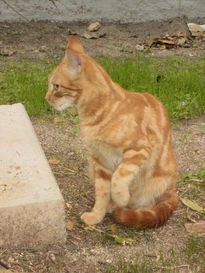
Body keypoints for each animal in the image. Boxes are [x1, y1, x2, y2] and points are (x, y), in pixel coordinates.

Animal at [44, 36, 178, 227]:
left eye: (56, 86)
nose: (46, 98)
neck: (102, 110)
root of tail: (172, 188)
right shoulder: (100, 161)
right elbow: (101, 191)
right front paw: (96, 214)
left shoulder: (138, 150)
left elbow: (118, 179)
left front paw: (120, 198)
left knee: (143, 204)